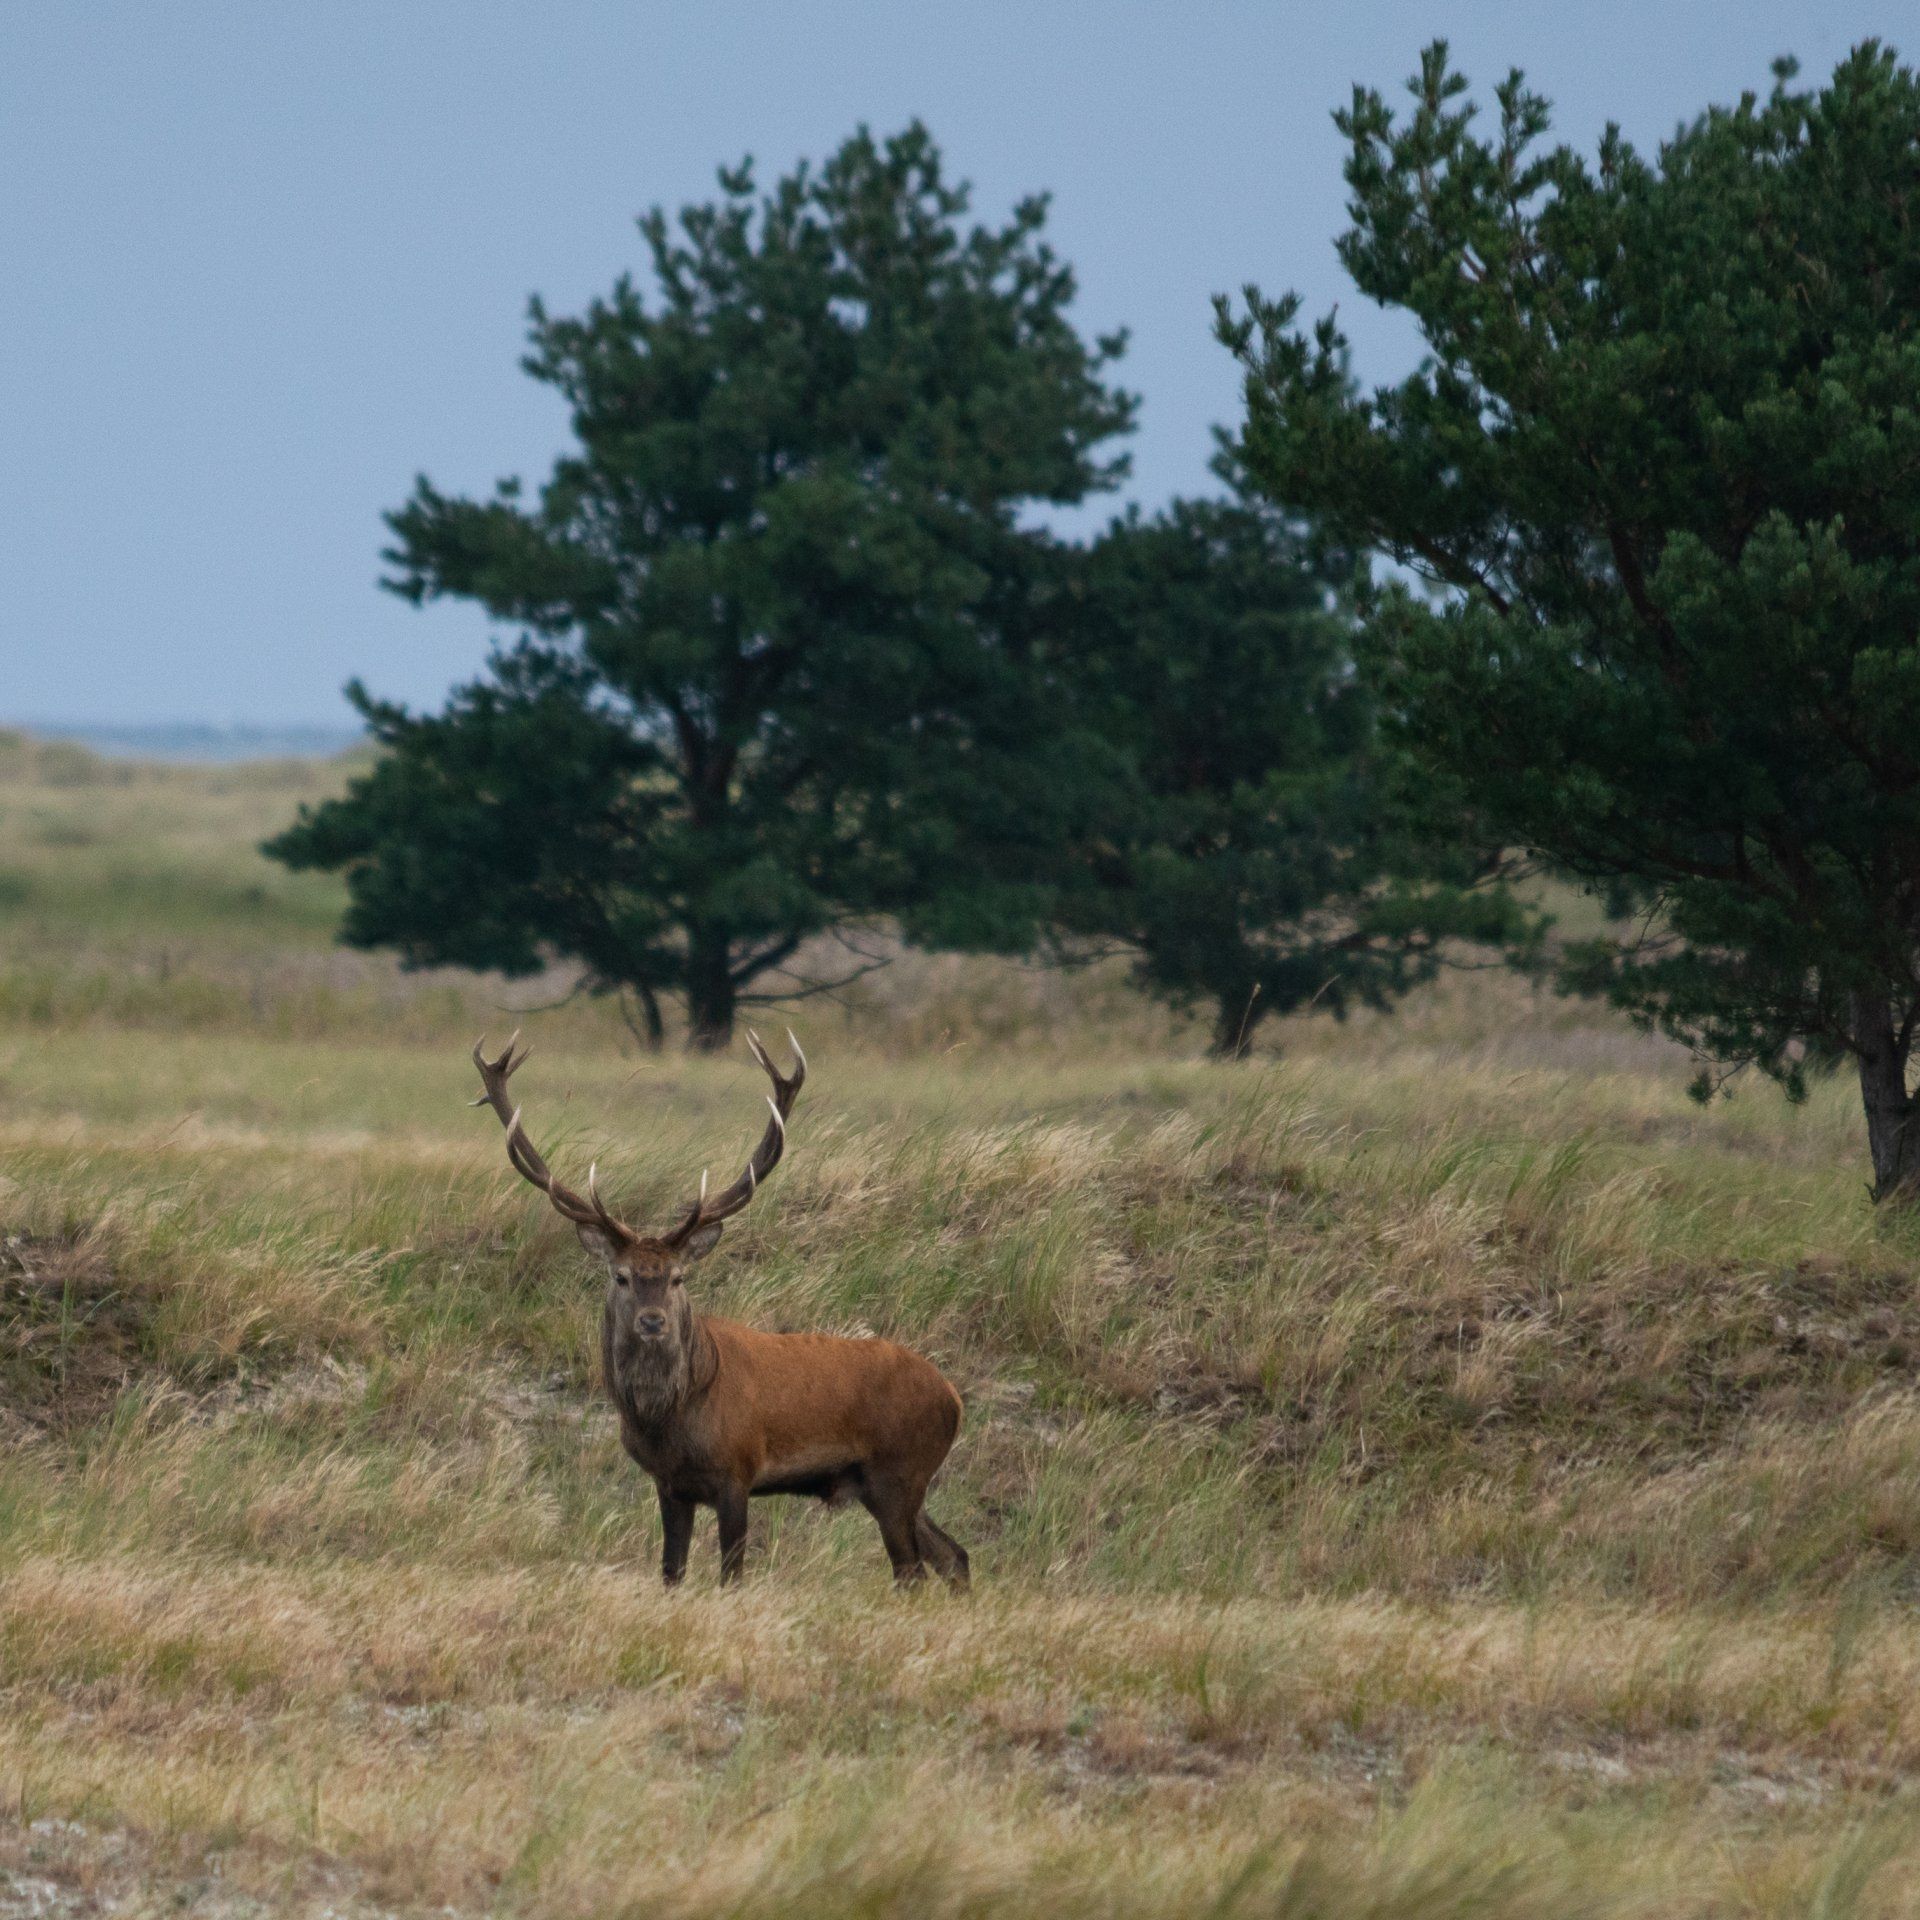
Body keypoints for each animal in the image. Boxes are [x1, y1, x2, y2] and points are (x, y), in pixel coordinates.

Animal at [469, 1030, 969, 1589]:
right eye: (621, 1276)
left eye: (677, 1277)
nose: (653, 1320)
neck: (669, 1420)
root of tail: (954, 1399)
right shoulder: (669, 1484)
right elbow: (672, 1570)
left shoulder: (738, 1470)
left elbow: (731, 1573)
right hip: (887, 1484)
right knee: (954, 1555)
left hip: (899, 1473)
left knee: (913, 1570)